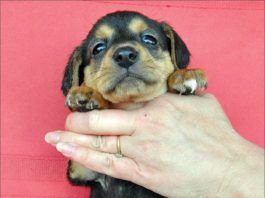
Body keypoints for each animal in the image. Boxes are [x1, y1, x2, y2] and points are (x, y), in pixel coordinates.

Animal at [61, 11, 206, 198]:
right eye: (98, 48)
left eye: (150, 39)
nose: (124, 55)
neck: (132, 105)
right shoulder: (81, 169)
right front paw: (85, 95)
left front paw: (184, 75)